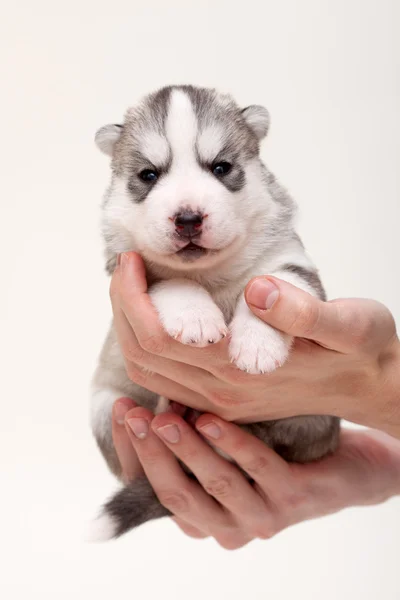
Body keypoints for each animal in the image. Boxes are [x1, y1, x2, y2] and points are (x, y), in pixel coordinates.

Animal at [89, 86, 340, 540]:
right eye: (149, 175)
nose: (188, 218)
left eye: (221, 167)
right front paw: (195, 317)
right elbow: (172, 282)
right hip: (105, 406)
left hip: (317, 416)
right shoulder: (133, 270)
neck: (212, 275)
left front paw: (257, 347)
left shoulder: (292, 261)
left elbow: (276, 283)